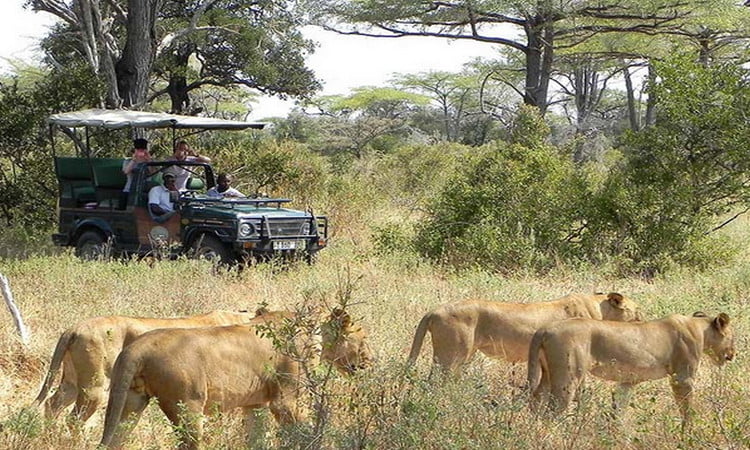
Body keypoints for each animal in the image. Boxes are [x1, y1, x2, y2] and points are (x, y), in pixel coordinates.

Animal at [98, 310, 374, 450]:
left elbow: (255, 438)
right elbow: (302, 433)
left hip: (130, 402)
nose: (370, 361)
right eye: (363, 337)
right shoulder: (285, 401)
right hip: (188, 406)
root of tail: (136, 347)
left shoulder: (254, 405)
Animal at [528, 312, 736, 428]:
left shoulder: (627, 381)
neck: (700, 328)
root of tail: (544, 329)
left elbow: (619, 409)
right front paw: (689, 433)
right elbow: (687, 410)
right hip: (568, 376)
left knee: (537, 397)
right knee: (553, 410)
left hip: (547, 374)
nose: (734, 353)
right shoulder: (682, 377)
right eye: (732, 337)